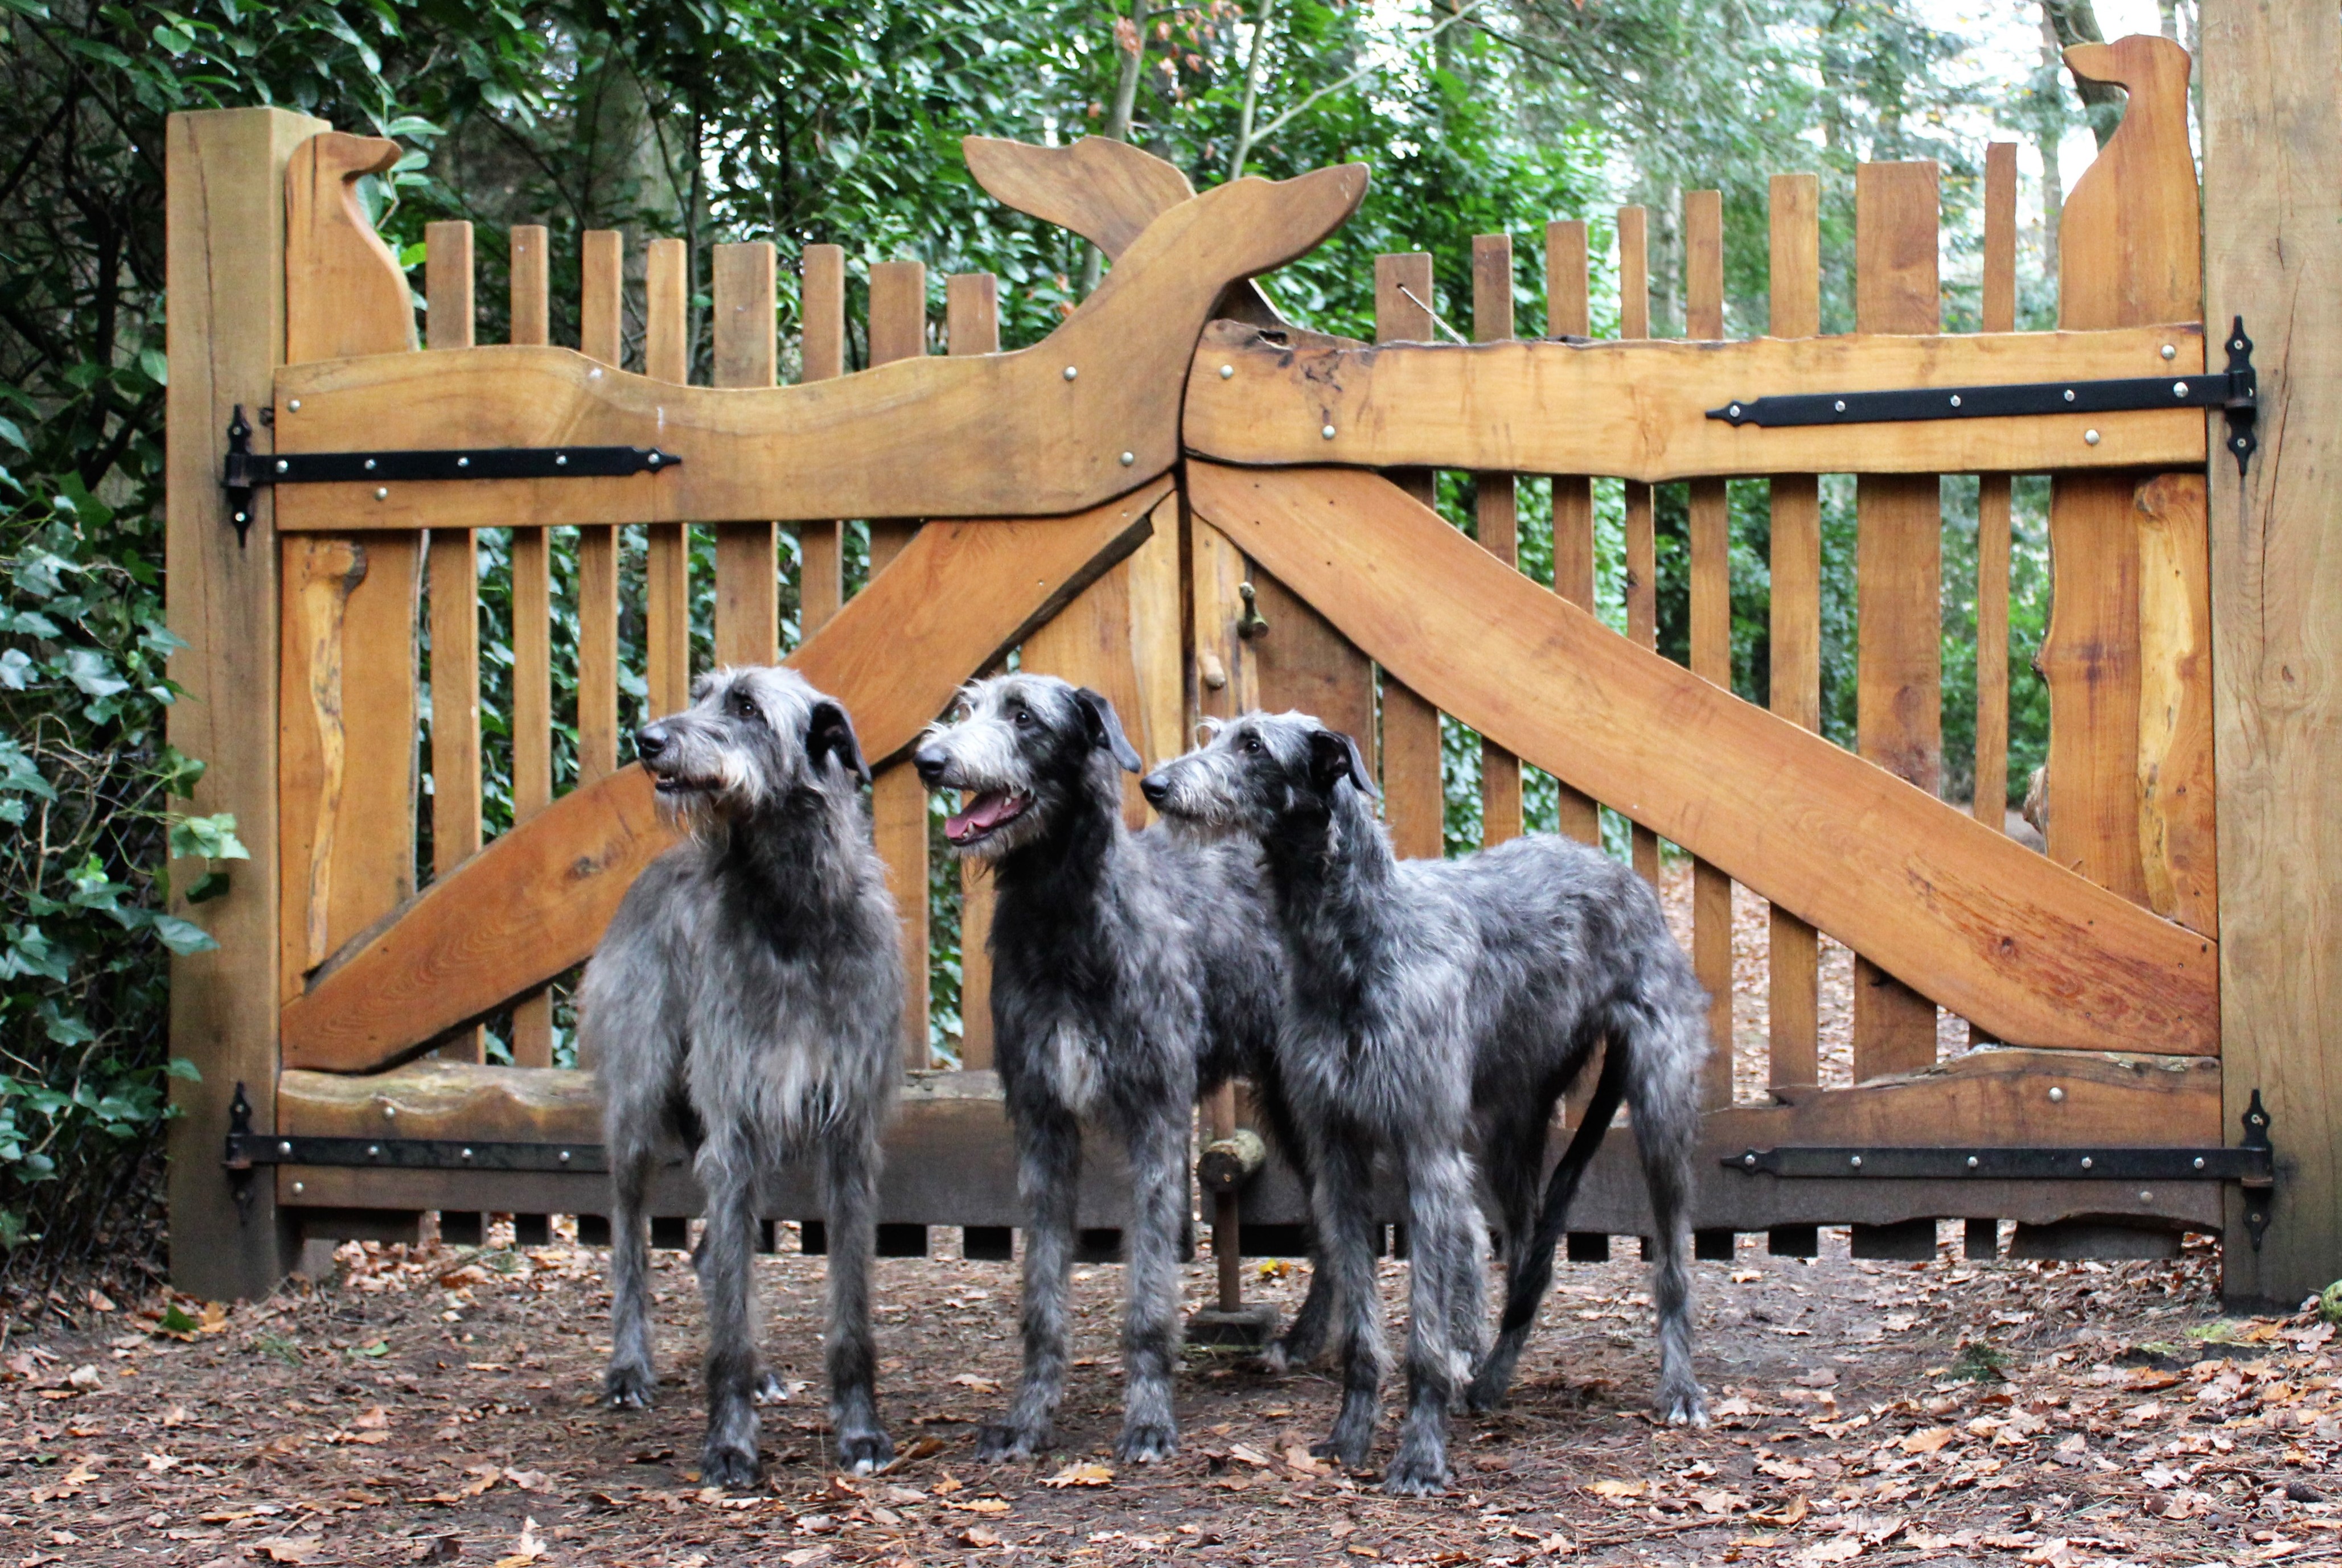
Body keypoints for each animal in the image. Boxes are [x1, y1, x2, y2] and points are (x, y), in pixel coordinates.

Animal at [583, 666, 899, 1487]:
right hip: (642, 1103)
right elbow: (726, 1319)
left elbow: (849, 1306)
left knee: (707, 1256)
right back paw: (628, 1368)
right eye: (700, 692)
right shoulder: (733, 1124)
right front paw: (728, 1444)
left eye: (748, 707)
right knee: (631, 1240)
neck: (793, 908)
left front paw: (861, 1431)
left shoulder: (849, 1133)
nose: (647, 739)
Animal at [912, 674, 1314, 1462]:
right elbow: (1041, 1288)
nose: (929, 760)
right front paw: (1027, 1417)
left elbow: (1150, 1286)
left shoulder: (1158, 1116)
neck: (1062, 919)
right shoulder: (1040, 1122)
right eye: (969, 706)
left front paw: (1149, 1417)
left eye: (1023, 715)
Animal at [1142, 711, 1709, 1495]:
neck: (1359, 939)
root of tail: (1625, 874)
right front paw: (1348, 1437)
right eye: (1215, 733)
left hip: (1657, 1107)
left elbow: (1426, 1339)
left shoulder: (1428, 1156)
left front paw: (1418, 1455)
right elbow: (1360, 1326)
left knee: (1673, 1260)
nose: (1154, 785)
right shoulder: (1338, 1156)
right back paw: (1494, 1378)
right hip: (1511, 1126)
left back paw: (1679, 1388)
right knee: (1531, 1258)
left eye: (1253, 745)